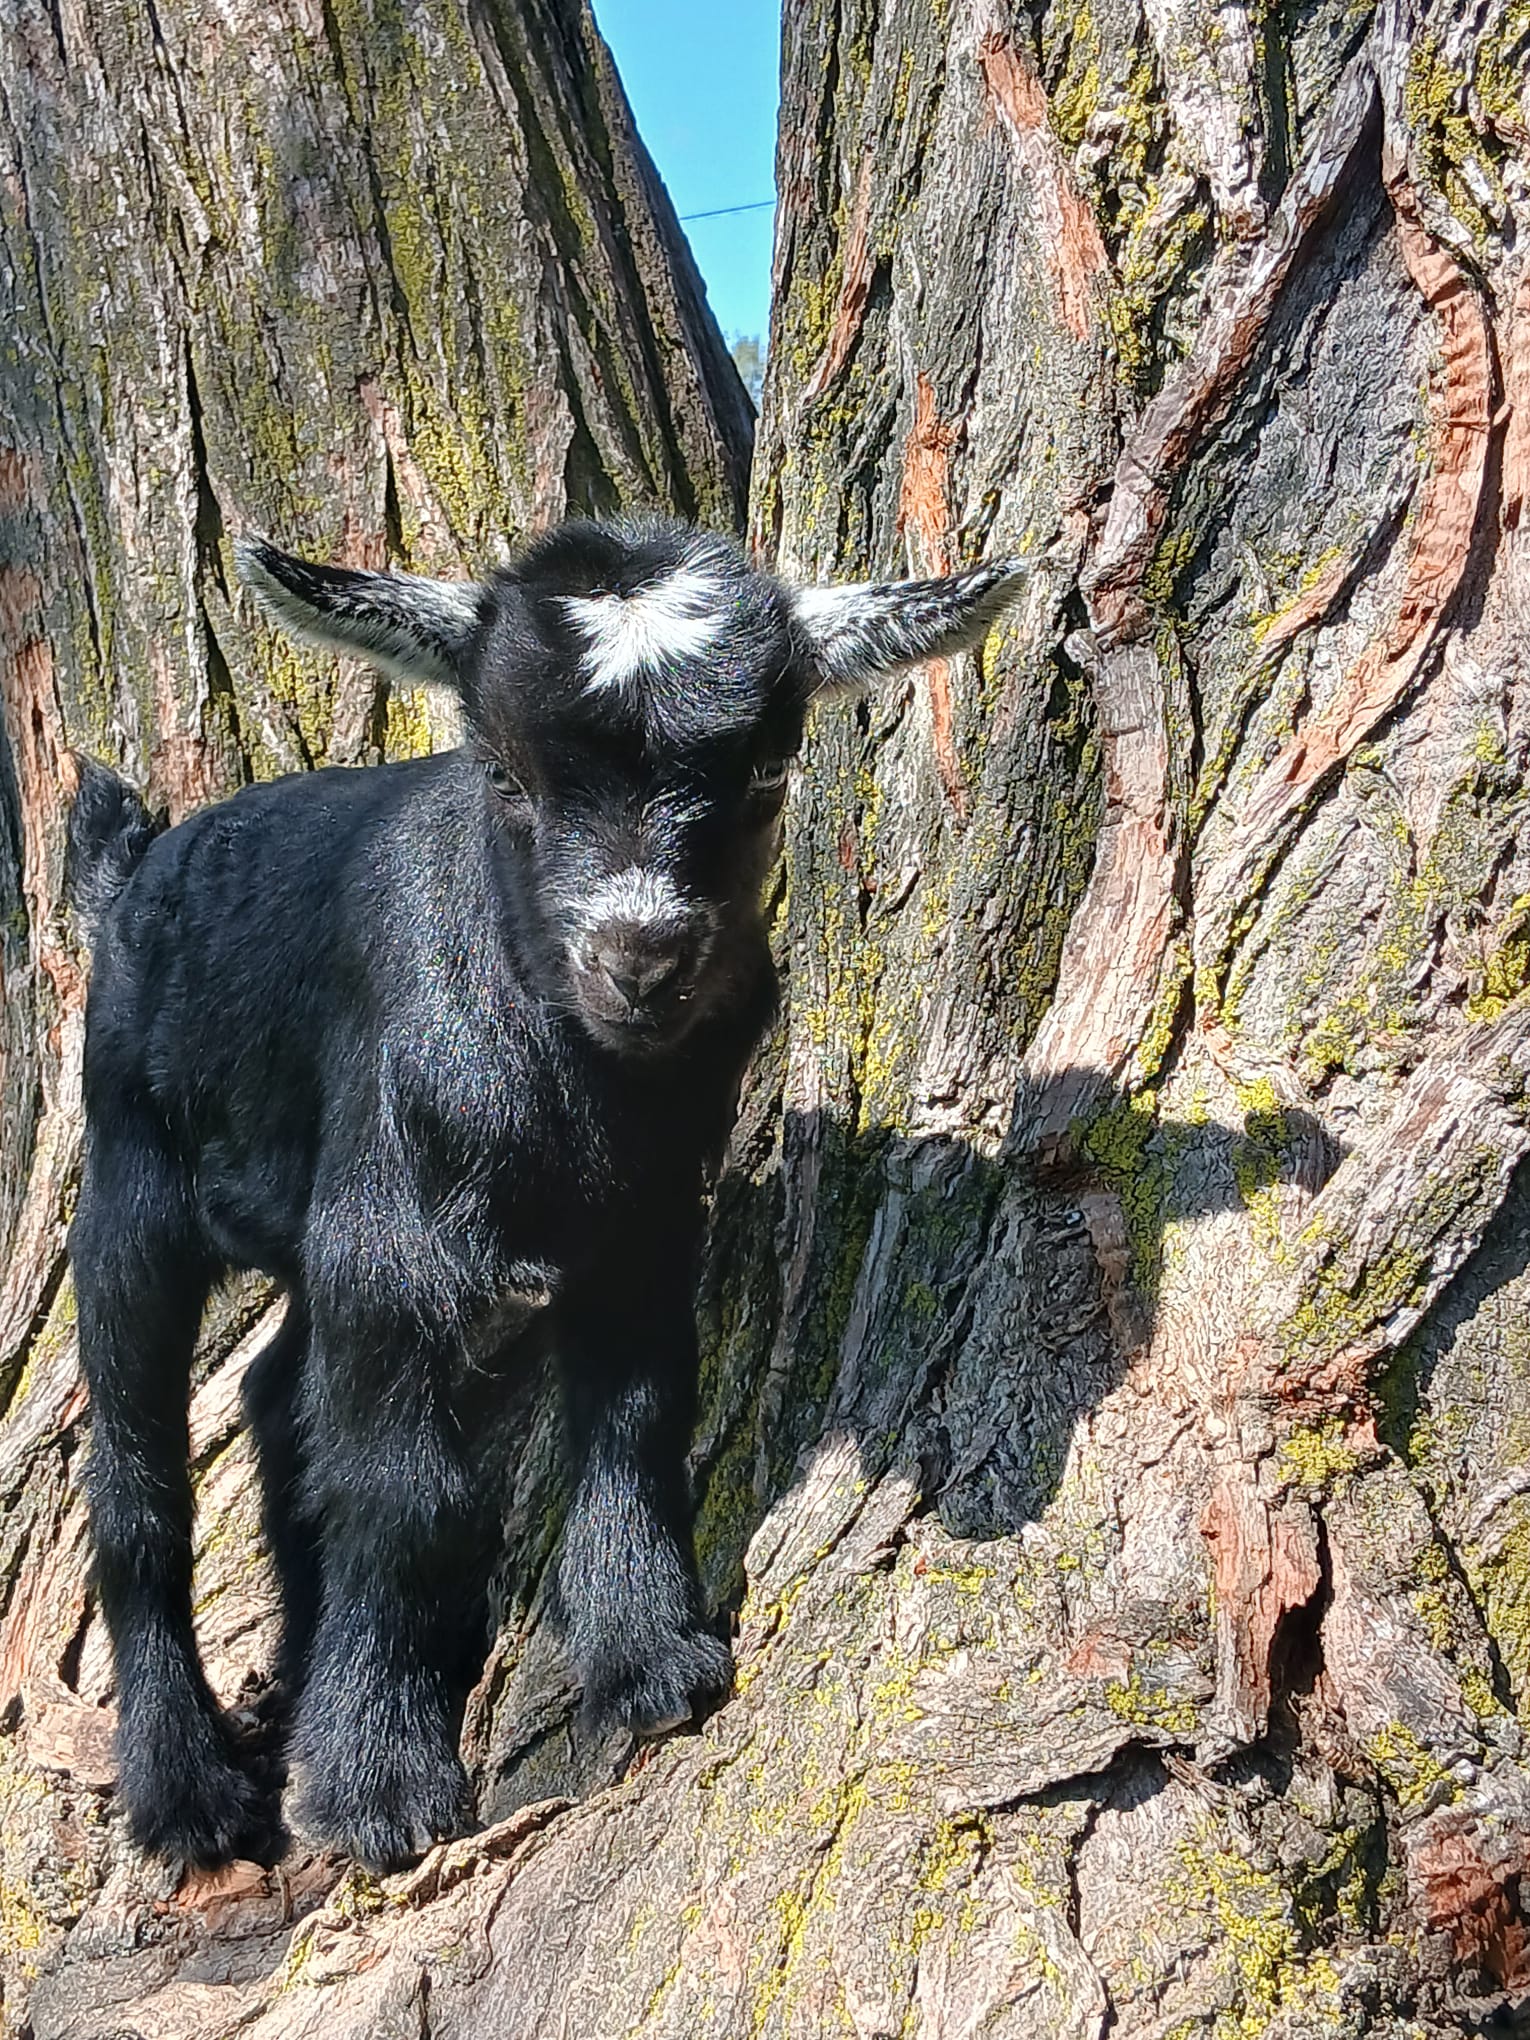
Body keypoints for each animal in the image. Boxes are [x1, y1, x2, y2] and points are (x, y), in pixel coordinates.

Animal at [67, 515, 1023, 1871]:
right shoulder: (393, 1234)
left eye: (768, 769)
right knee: (137, 1467)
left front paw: (648, 1661)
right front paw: (376, 1789)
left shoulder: (648, 1217)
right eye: (507, 779)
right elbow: (403, 1491)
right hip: (131, 1165)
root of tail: (135, 869)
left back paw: (301, 1670)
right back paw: (185, 1792)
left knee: (270, 1390)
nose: (641, 964)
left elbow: (635, 1412)